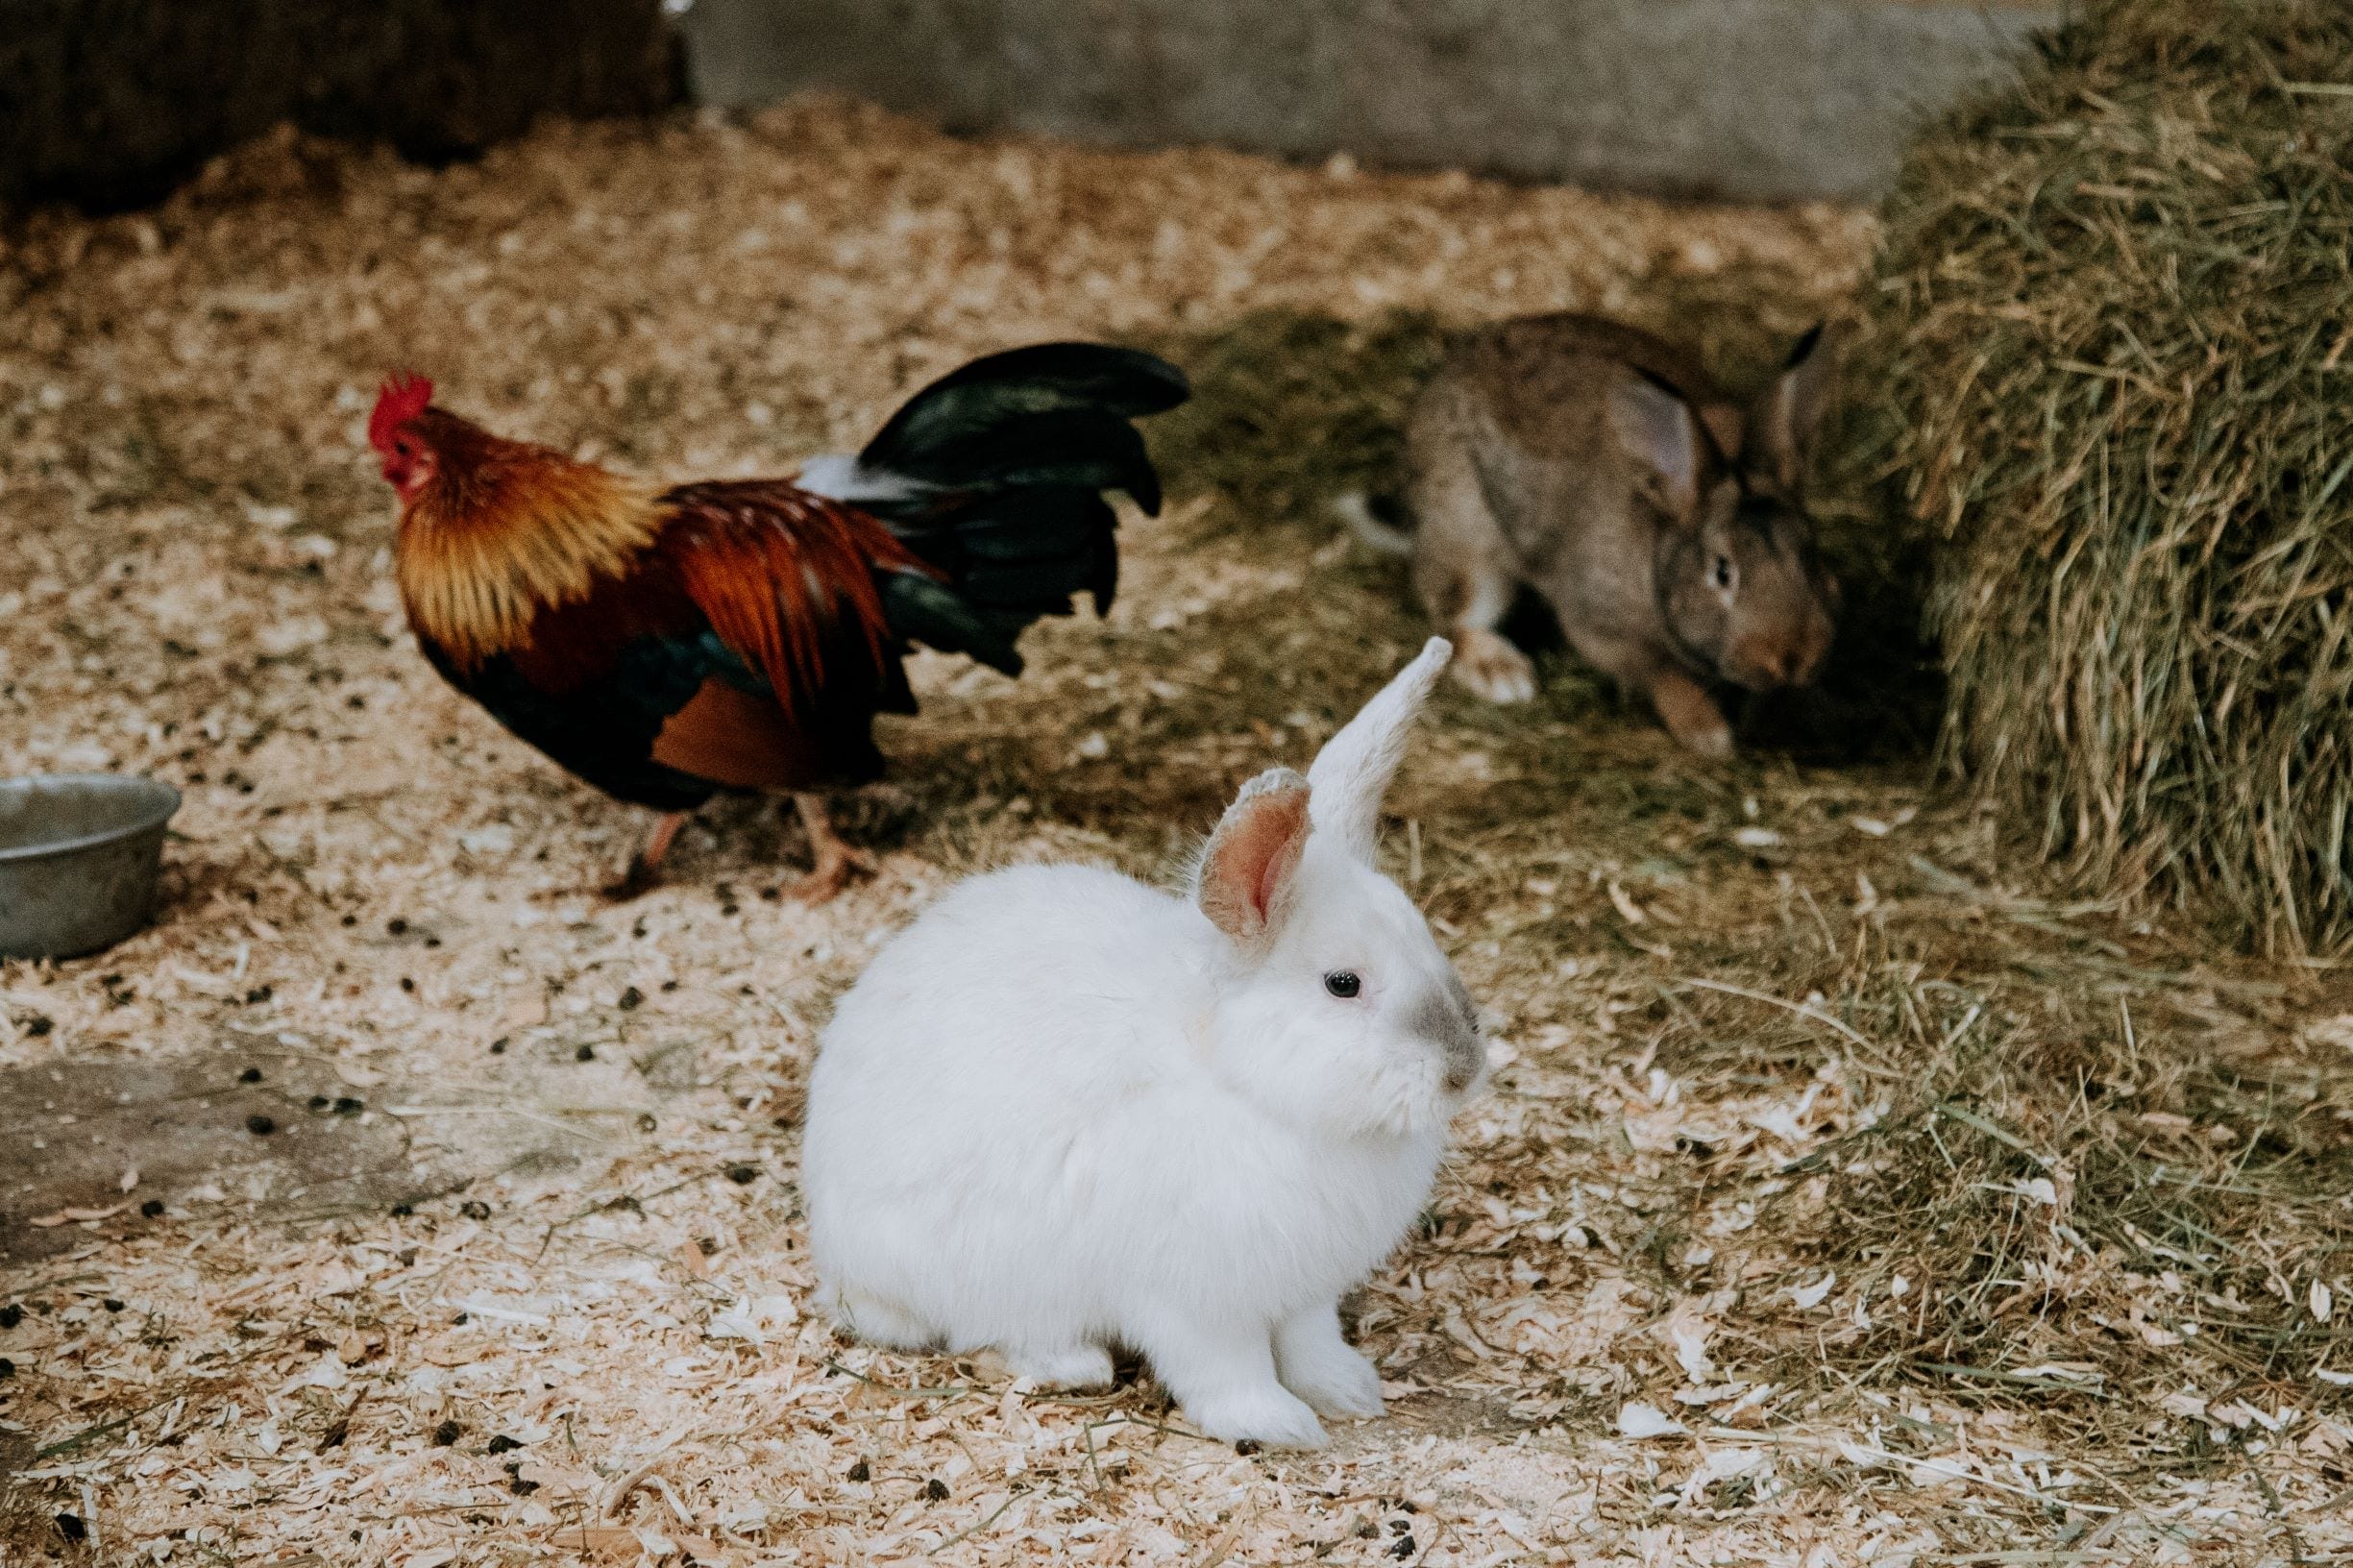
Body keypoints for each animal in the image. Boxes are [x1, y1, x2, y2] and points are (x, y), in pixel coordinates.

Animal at [801, 638, 1483, 1450]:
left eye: (1424, 936)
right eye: (1341, 984)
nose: (1462, 1071)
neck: (1241, 1084)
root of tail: (837, 1261)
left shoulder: (1302, 1291)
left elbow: (1310, 1342)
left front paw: (1349, 1391)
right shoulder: (1196, 1301)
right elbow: (1225, 1370)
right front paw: (1279, 1424)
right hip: (979, 1272)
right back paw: (1076, 1364)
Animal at [1339, 314, 1840, 759]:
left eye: (1811, 557)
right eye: (1722, 573)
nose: (1791, 658)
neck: (1658, 550)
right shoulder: (1600, 623)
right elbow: (1659, 673)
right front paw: (1708, 734)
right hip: (1468, 543)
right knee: (1455, 620)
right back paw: (1502, 674)